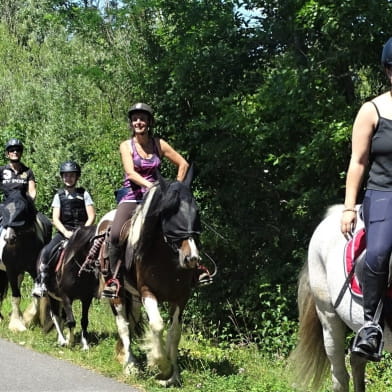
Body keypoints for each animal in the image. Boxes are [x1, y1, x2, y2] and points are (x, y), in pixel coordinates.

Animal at [0, 190, 51, 330]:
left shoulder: (34, 270)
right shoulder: (11, 270)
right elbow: (16, 296)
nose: (9, 238)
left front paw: (31, 319)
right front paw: (17, 325)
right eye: (5, 212)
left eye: (22, 212)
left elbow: (36, 294)